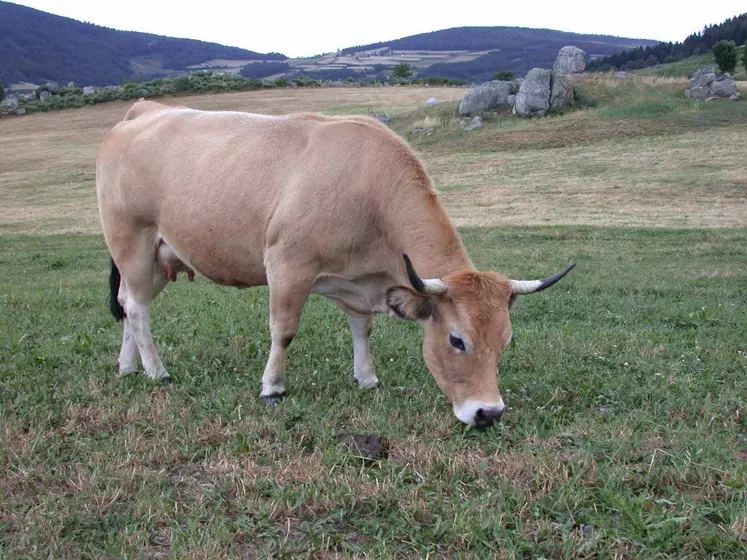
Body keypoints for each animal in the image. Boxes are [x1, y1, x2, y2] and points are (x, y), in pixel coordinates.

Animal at [98, 99, 580, 424]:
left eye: (505, 341)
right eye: (457, 340)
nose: (489, 412)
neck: (369, 191)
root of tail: (144, 111)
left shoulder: (360, 281)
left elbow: (361, 328)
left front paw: (366, 377)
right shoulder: (287, 265)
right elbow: (284, 330)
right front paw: (272, 386)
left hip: (160, 255)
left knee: (127, 305)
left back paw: (128, 365)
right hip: (131, 240)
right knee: (137, 308)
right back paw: (157, 371)